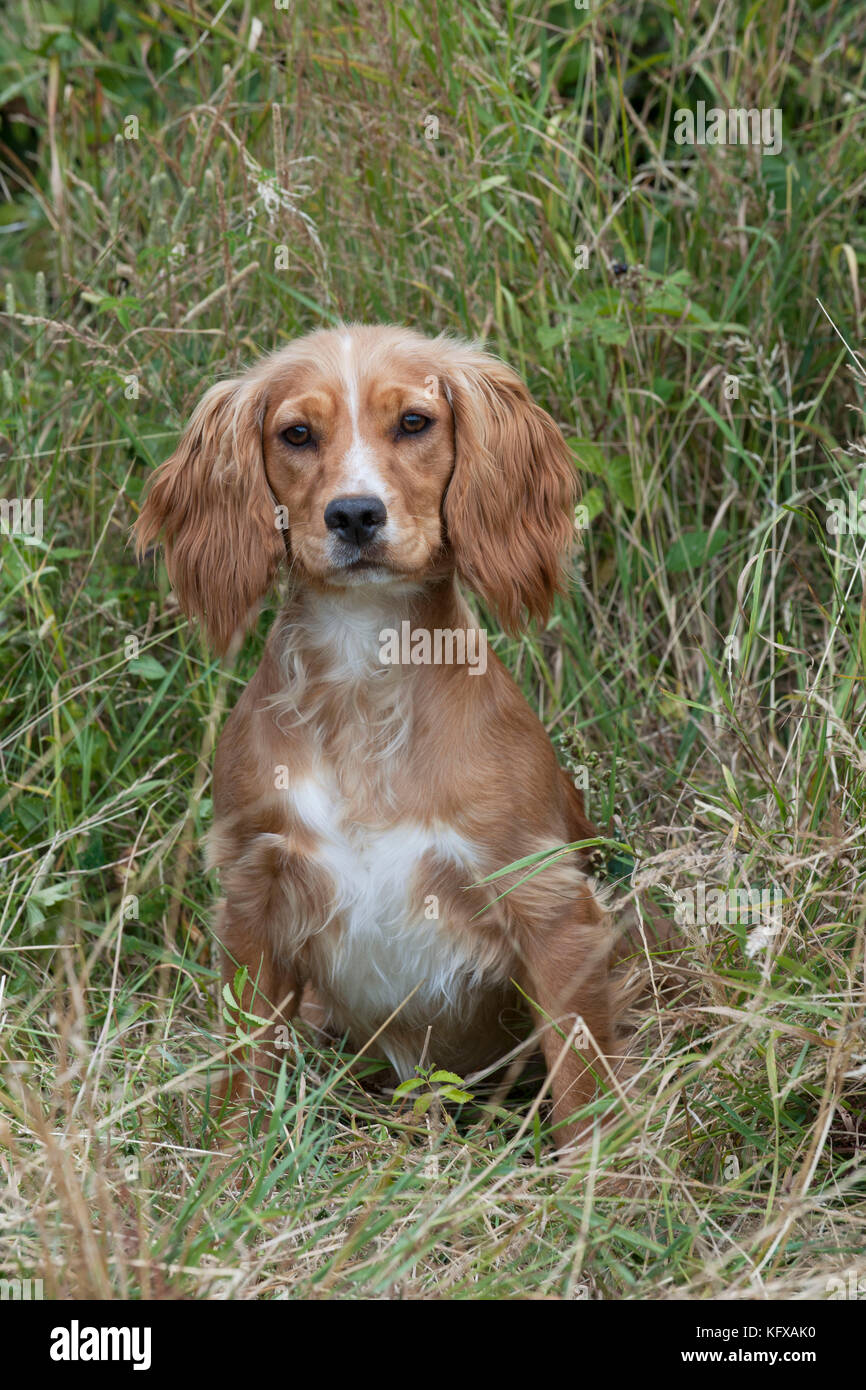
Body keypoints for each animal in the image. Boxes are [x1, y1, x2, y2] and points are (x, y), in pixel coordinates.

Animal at [135, 322, 619, 1139]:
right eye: (297, 434)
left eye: (415, 422)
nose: (354, 514)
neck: (365, 674)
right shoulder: (255, 894)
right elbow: (241, 1083)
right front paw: (232, 1164)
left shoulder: (548, 902)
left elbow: (586, 1092)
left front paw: (604, 1174)